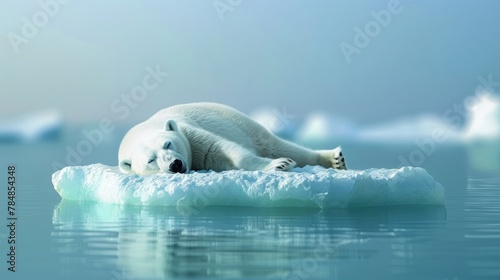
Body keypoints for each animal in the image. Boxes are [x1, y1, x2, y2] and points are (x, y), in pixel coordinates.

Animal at [118, 103, 348, 175]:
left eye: (168, 143)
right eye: (150, 160)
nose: (175, 164)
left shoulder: (189, 133)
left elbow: (218, 147)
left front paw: (280, 164)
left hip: (242, 123)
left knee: (276, 145)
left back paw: (335, 159)